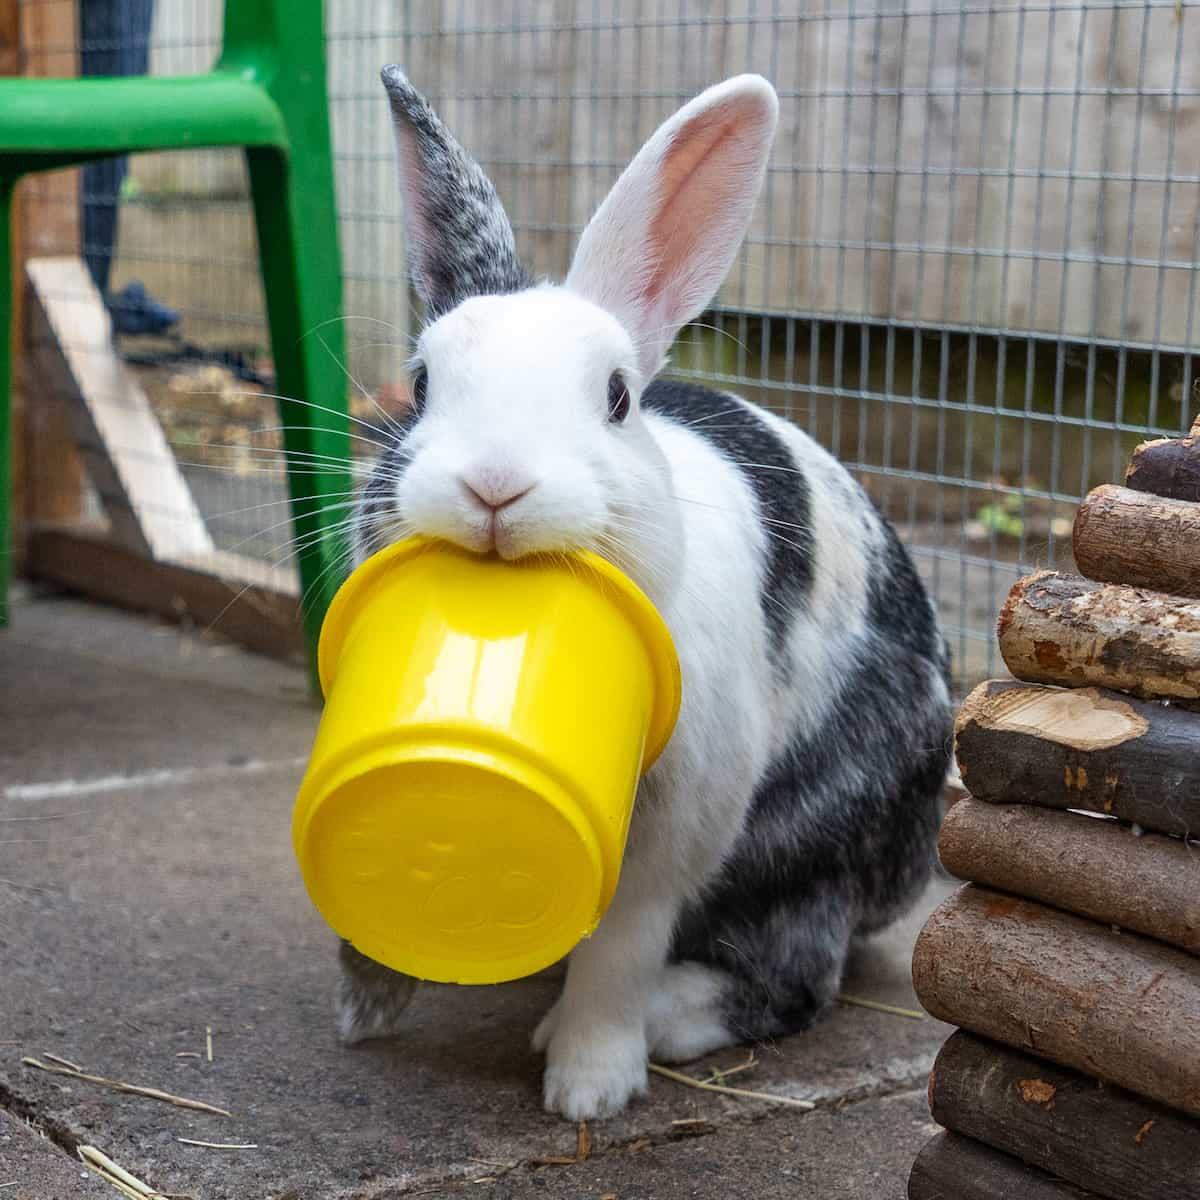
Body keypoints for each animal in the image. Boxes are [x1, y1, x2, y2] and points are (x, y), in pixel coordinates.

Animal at [335, 66, 954, 1122]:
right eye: (418, 385)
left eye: (619, 398)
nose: (495, 484)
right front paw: (366, 1008)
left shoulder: (679, 828)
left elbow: (623, 944)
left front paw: (589, 1085)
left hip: (809, 847)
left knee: (798, 976)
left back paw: (661, 1016)